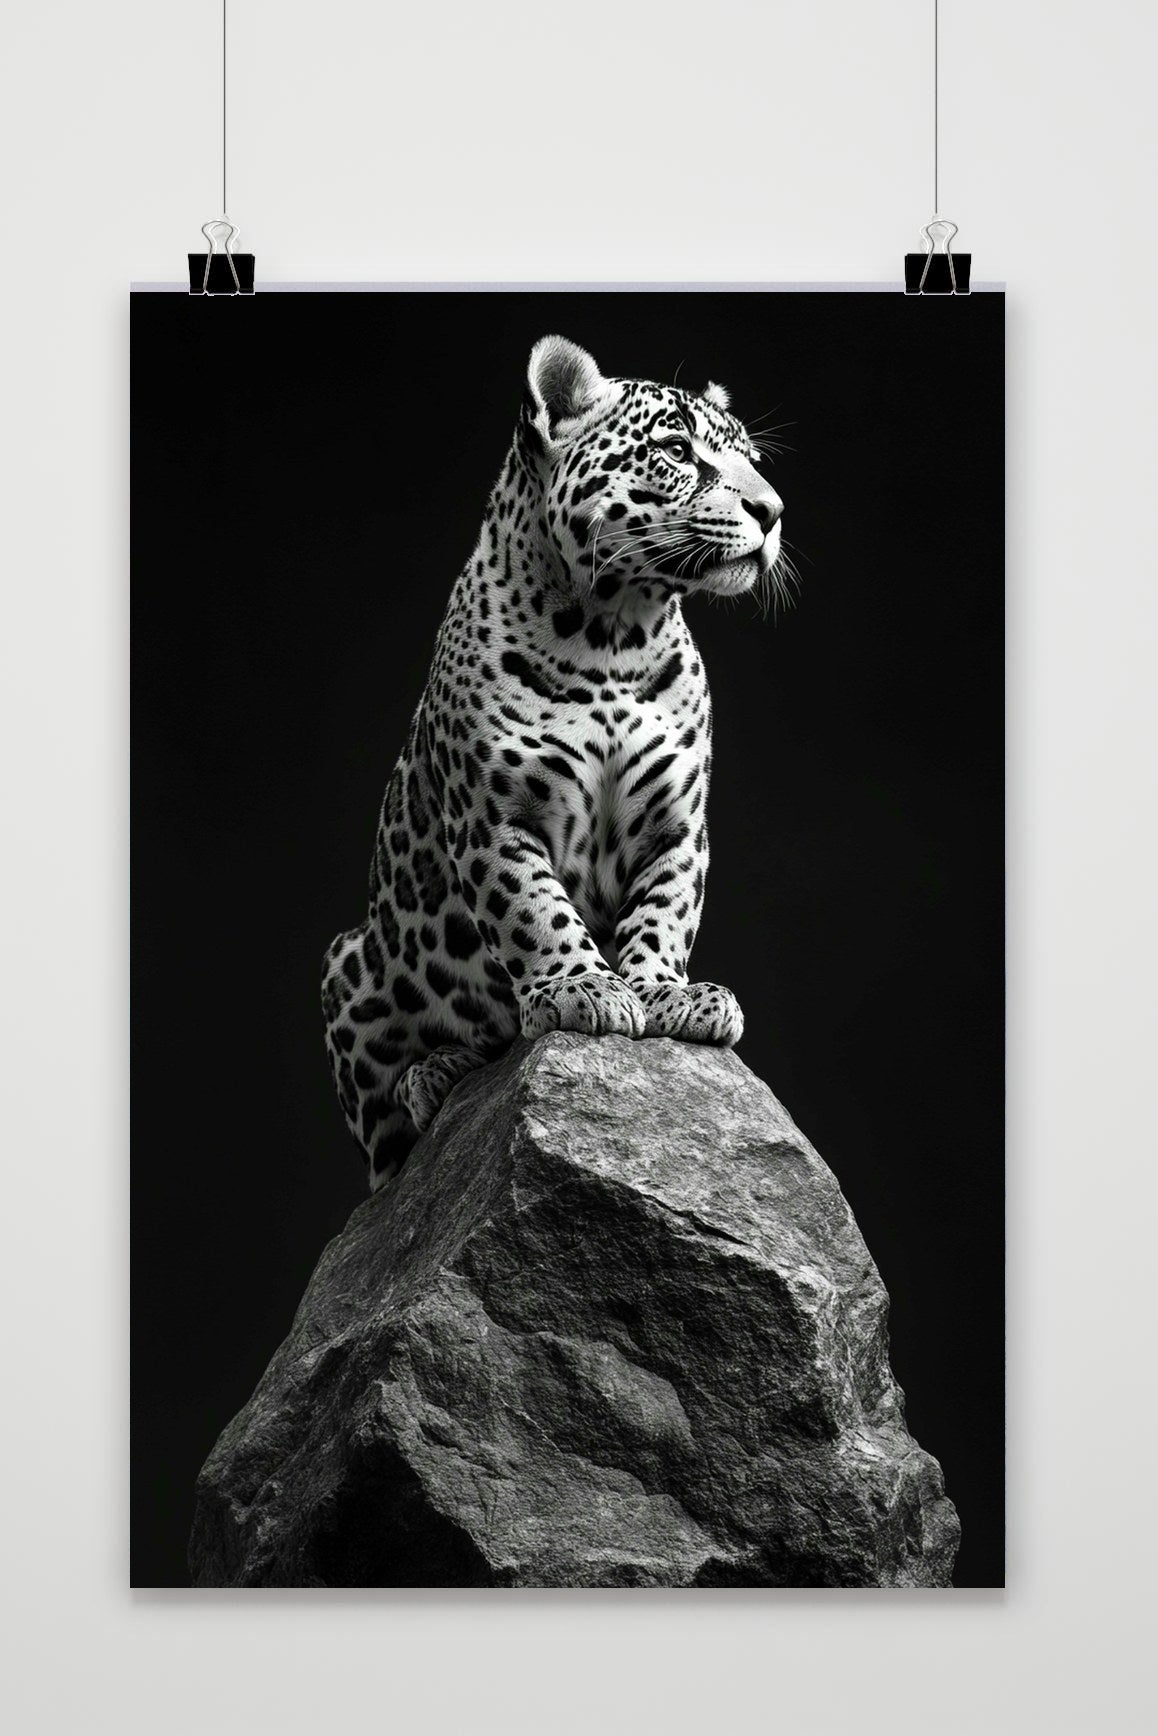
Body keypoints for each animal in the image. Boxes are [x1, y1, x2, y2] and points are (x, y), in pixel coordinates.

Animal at [322, 335, 788, 1190]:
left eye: (749, 458)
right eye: (678, 452)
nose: (773, 512)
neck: (614, 634)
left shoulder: (678, 826)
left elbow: (665, 910)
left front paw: (665, 993)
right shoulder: (497, 817)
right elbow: (532, 908)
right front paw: (583, 987)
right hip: (348, 967)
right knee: (386, 1140)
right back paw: (436, 1077)